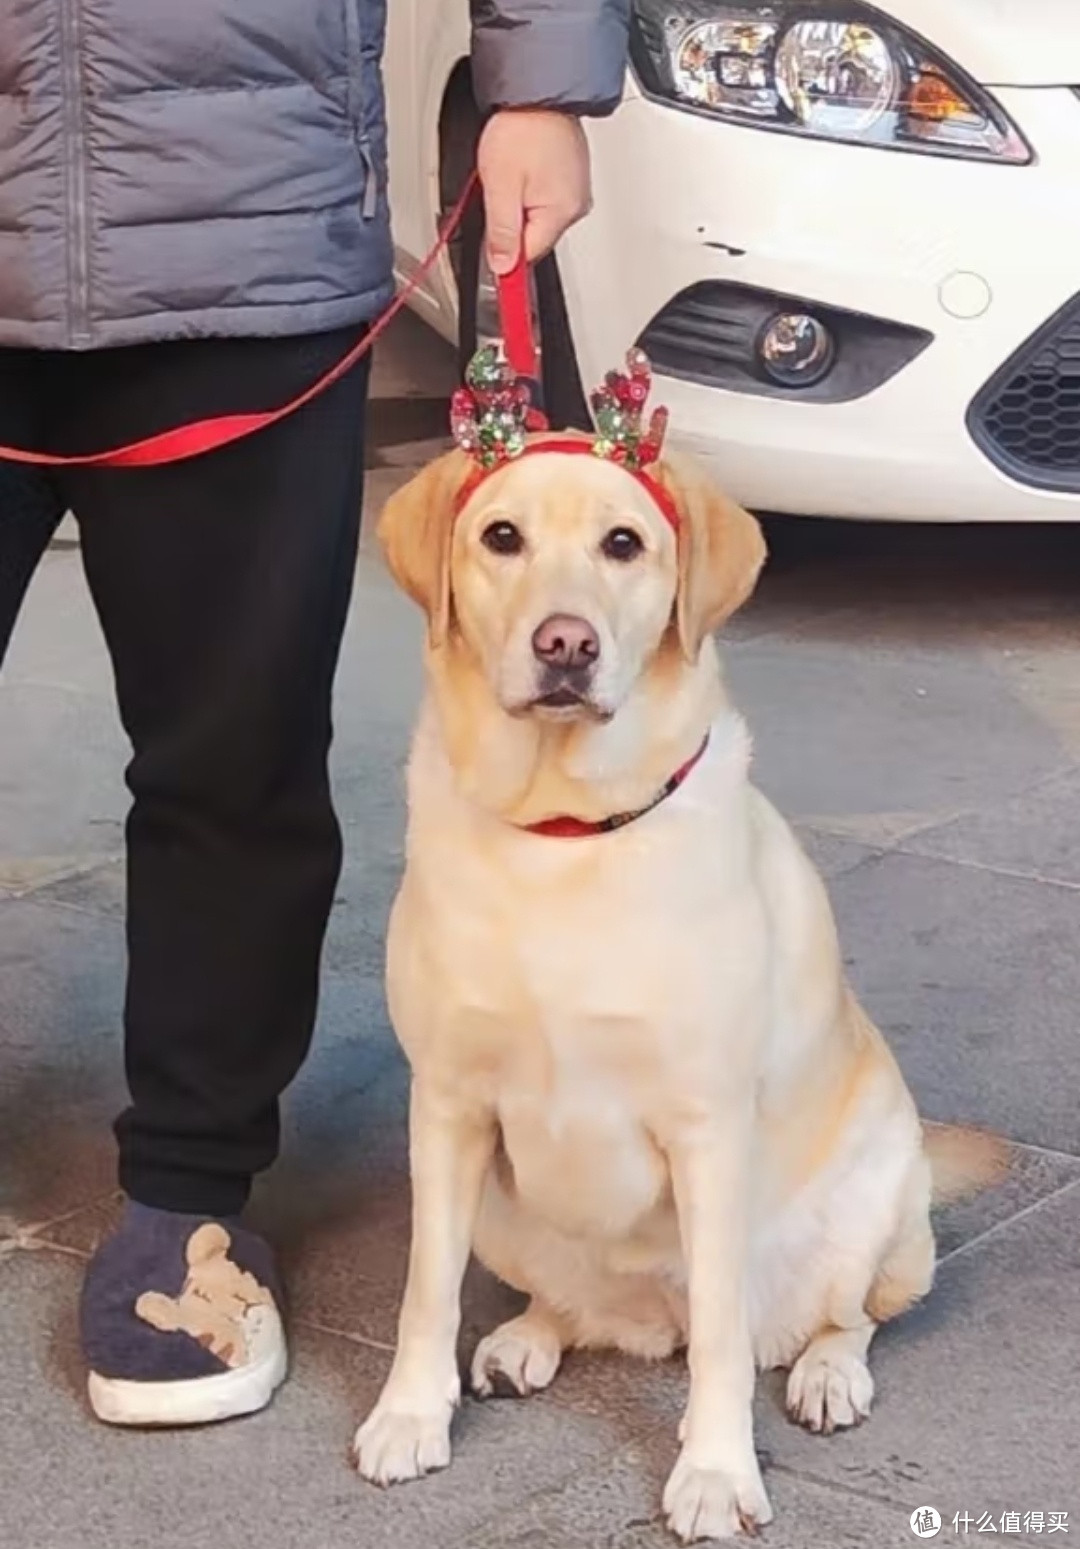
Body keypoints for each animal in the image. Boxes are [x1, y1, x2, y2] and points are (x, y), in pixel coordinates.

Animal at [356, 436, 1004, 1536]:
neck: (564, 835)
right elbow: (422, 1290)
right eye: (501, 536)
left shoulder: (706, 1127)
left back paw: (827, 1372)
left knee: (836, 1318)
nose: (566, 644)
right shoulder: (444, 1106)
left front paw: (714, 1471)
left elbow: (722, 1337)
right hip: (500, 1210)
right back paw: (528, 1335)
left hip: (881, 1204)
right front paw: (409, 1414)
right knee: (569, 1308)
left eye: (624, 543)